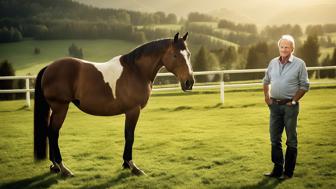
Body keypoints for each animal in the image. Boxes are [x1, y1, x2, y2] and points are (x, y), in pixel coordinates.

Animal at [33, 32, 194, 176]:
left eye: (188, 54)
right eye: (175, 55)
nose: (189, 82)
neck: (136, 70)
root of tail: (49, 67)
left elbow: (127, 134)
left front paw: (126, 164)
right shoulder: (133, 110)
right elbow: (130, 136)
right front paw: (132, 166)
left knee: (50, 132)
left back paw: (55, 166)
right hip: (60, 107)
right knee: (53, 133)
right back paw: (63, 168)